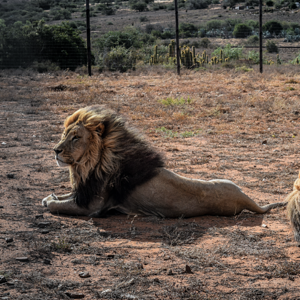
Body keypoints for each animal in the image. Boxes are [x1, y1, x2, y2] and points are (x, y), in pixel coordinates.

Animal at [41, 105, 286, 218]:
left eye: (76, 137)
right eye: (64, 134)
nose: (55, 150)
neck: (89, 165)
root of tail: (248, 200)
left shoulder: (93, 206)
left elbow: (58, 205)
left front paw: (49, 201)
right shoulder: (85, 190)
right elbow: (64, 195)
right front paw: (50, 195)